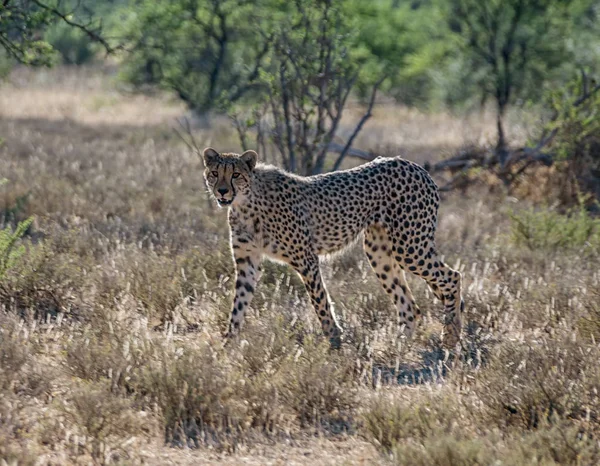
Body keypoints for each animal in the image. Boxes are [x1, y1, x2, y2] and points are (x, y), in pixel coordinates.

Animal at [202, 147, 464, 348]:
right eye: (215, 173)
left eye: (236, 174)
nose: (222, 191)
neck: (245, 204)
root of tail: (414, 165)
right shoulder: (248, 262)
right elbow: (238, 305)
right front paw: (228, 345)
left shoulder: (306, 259)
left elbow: (320, 301)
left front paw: (334, 341)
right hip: (379, 251)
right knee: (410, 306)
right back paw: (398, 347)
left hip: (409, 247)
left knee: (452, 277)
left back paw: (450, 336)